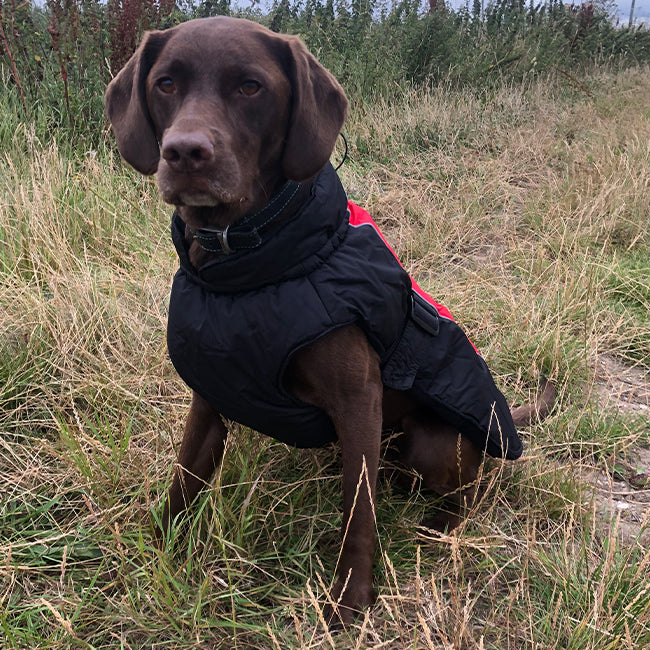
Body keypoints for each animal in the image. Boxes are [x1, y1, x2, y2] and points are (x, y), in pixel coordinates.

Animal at [105, 16, 554, 626]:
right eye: (166, 83)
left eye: (251, 87)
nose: (183, 152)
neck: (241, 272)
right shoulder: (209, 400)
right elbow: (183, 480)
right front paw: (155, 550)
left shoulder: (358, 400)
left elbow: (358, 512)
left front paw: (351, 597)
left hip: (434, 444)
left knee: (469, 490)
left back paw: (441, 525)